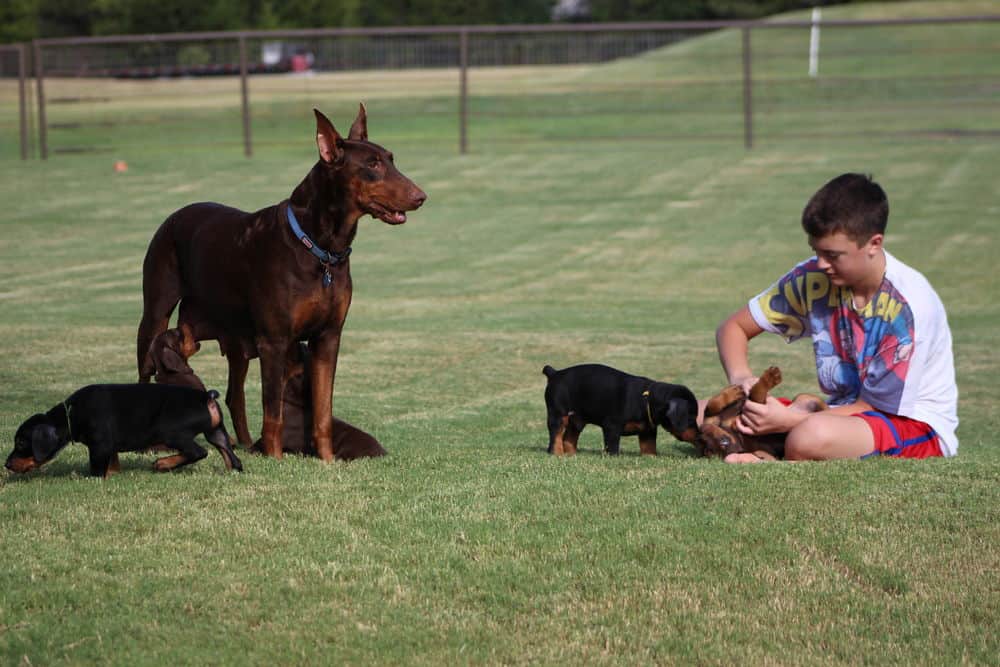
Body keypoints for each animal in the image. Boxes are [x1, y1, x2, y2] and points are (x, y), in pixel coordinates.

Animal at [6, 384, 242, 478]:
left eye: (20, 443)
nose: (6, 465)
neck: (70, 414)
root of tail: (206, 397)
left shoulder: (99, 446)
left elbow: (95, 472)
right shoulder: (109, 447)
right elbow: (112, 465)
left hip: (171, 432)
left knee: (198, 452)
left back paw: (163, 464)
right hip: (216, 431)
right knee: (233, 458)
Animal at [137, 104, 426, 462]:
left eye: (390, 158)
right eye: (372, 165)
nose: (421, 197)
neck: (320, 249)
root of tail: (174, 216)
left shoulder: (328, 337)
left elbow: (322, 411)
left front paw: (327, 461)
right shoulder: (274, 342)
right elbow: (273, 412)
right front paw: (275, 460)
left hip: (233, 341)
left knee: (234, 395)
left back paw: (244, 444)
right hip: (155, 314)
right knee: (146, 370)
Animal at [544, 362, 700, 456]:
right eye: (691, 418)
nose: (699, 435)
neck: (646, 400)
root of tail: (555, 373)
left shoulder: (648, 430)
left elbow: (649, 447)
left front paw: (651, 457)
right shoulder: (612, 426)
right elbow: (613, 447)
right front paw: (613, 457)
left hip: (577, 420)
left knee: (569, 437)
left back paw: (571, 454)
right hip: (558, 414)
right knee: (556, 435)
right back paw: (557, 453)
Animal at [696, 368, 828, 462]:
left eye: (703, 439)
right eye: (722, 444)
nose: (703, 430)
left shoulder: (713, 418)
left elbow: (711, 406)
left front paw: (733, 391)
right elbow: (756, 393)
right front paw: (769, 379)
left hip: (805, 397)